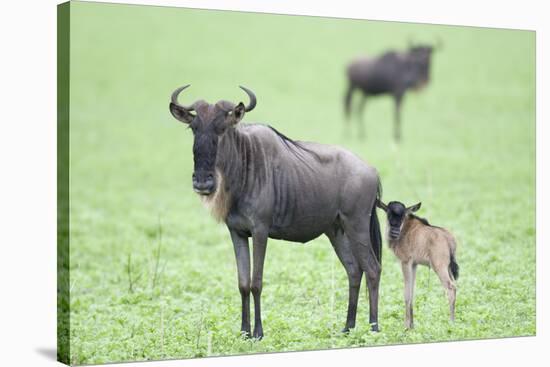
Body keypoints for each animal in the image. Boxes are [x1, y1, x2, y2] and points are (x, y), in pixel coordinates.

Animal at [378, 201, 460, 330]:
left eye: (402, 216)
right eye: (389, 214)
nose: (394, 232)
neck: (405, 229)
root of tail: (449, 239)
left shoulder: (405, 262)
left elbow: (406, 293)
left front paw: (406, 326)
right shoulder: (414, 264)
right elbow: (412, 292)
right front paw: (412, 326)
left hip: (439, 267)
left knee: (451, 287)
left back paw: (451, 323)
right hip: (448, 268)